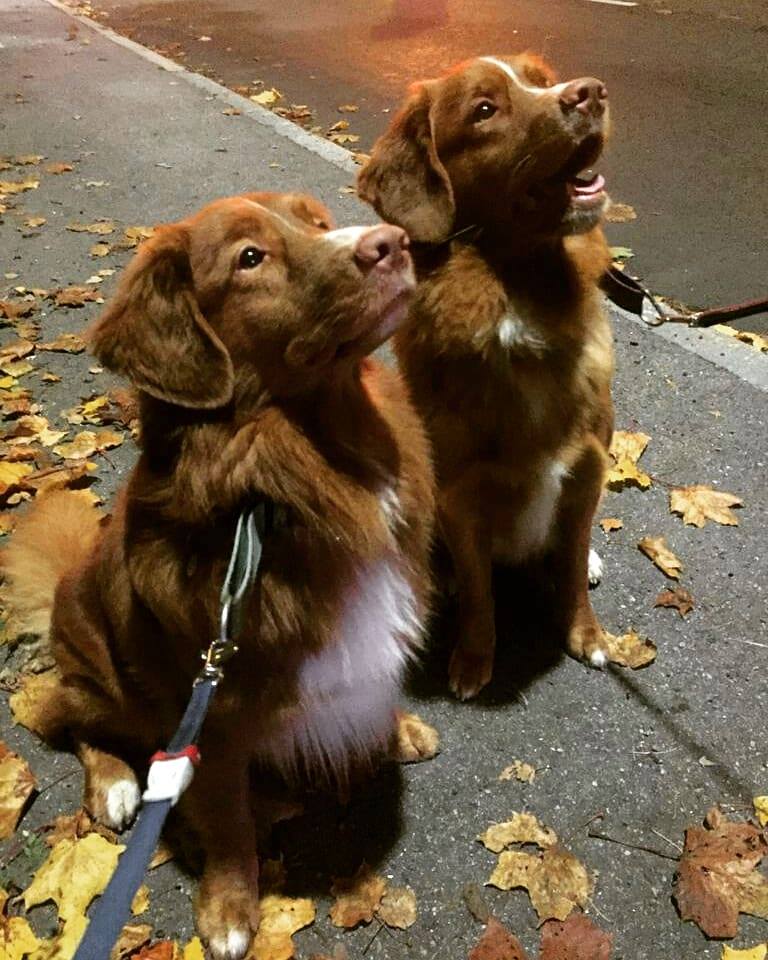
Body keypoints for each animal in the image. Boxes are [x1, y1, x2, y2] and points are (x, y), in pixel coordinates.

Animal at [2, 192, 438, 959]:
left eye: (317, 222)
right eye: (249, 259)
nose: (392, 242)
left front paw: (395, 728)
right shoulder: (214, 709)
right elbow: (230, 820)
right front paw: (231, 909)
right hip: (102, 675)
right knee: (70, 718)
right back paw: (116, 784)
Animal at [358, 53, 615, 700]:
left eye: (542, 78)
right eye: (484, 109)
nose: (591, 92)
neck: (516, 291)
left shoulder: (588, 464)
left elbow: (571, 562)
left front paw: (587, 633)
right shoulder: (461, 493)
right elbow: (480, 592)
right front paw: (475, 659)